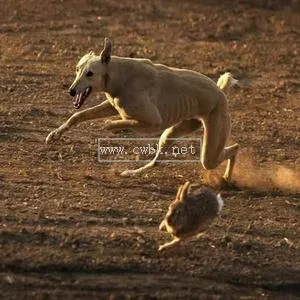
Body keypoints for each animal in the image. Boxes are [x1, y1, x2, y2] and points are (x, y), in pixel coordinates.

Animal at [45, 38, 239, 182]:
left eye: (90, 73)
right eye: (77, 69)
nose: (71, 91)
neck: (119, 75)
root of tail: (221, 92)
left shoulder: (152, 123)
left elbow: (115, 122)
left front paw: (110, 126)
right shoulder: (112, 105)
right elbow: (78, 115)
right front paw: (54, 135)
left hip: (208, 152)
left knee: (234, 148)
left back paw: (227, 177)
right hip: (171, 133)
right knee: (156, 162)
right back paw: (131, 173)